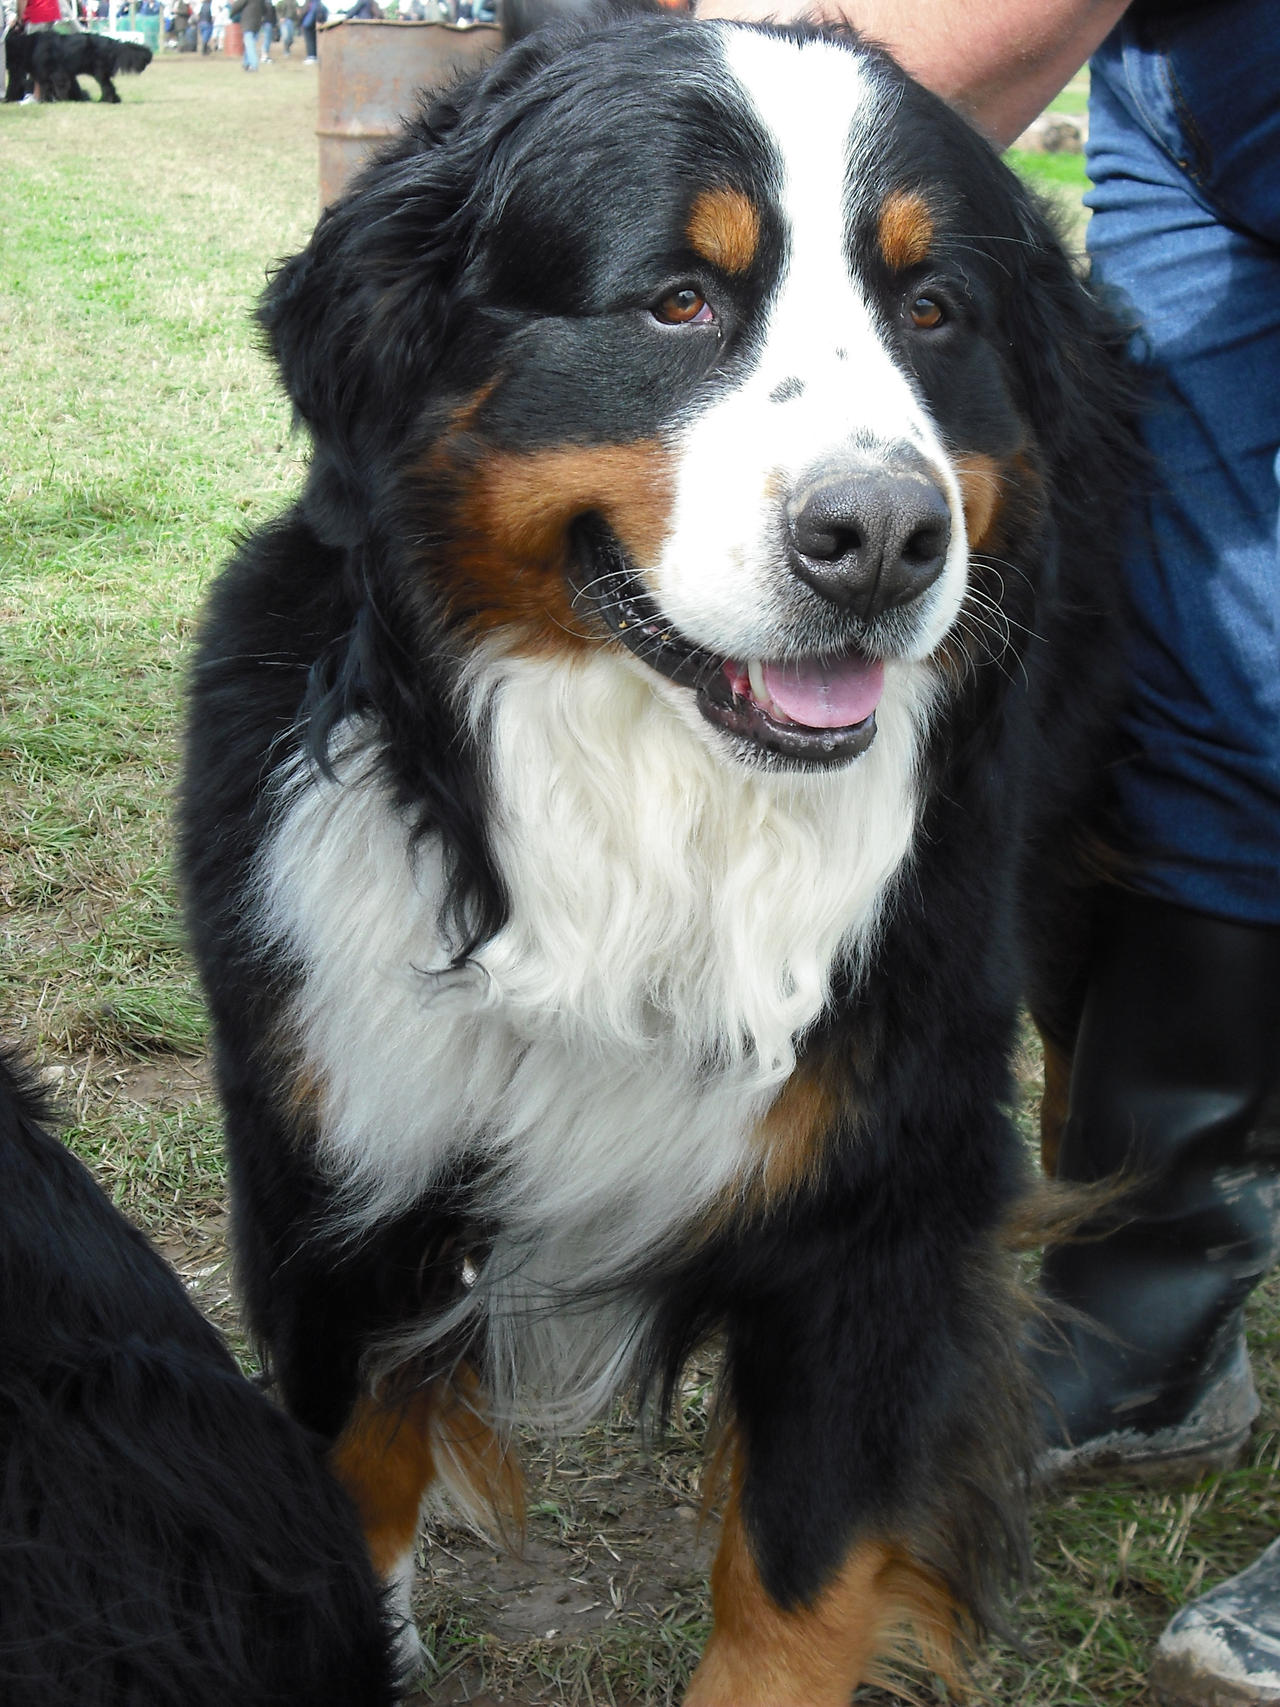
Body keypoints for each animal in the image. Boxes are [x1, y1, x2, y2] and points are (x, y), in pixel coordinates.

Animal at [4, 26, 152, 102]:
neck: (29, 46)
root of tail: (114, 43)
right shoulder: (44, 75)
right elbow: (46, 87)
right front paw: (45, 100)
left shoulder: (58, 73)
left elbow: (59, 87)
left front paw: (61, 100)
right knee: (110, 87)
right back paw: (113, 100)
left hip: (99, 71)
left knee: (107, 87)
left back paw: (105, 100)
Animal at [178, 10, 1133, 1693]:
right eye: (678, 299)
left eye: (933, 309)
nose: (884, 538)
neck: (648, 810)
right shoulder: (336, 1156)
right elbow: (349, 1467)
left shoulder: (874, 1208)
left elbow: (795, 1583)